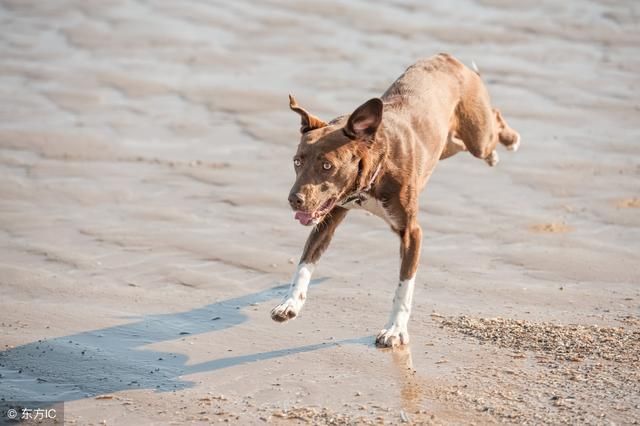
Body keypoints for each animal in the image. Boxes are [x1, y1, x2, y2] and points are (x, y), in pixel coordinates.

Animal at [270, 52, 520, 346]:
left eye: (327, 166)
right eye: (297, 161)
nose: (294, 199)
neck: (374, 168)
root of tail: (447, 57)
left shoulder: (411, 232)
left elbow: (404, 287)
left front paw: (395, 329)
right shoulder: (328, 218)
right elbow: (304, 263)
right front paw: (290, 303)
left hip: (477, 136)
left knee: (493, 122)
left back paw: (509, 140)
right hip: (446, 143)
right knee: (460, 142)